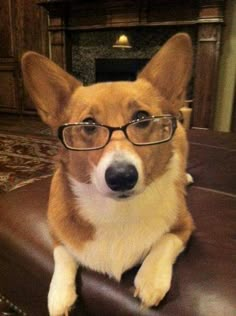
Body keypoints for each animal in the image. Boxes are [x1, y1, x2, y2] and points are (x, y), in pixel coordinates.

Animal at [21, 32, 194, 316]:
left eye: (142, 118)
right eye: (89, 125)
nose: (121, 177)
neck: (116, 211)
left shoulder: (185, 226)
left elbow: (165, 241)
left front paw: (150, 280)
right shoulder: (56, 233)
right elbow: (62, 254)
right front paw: (58, 295)